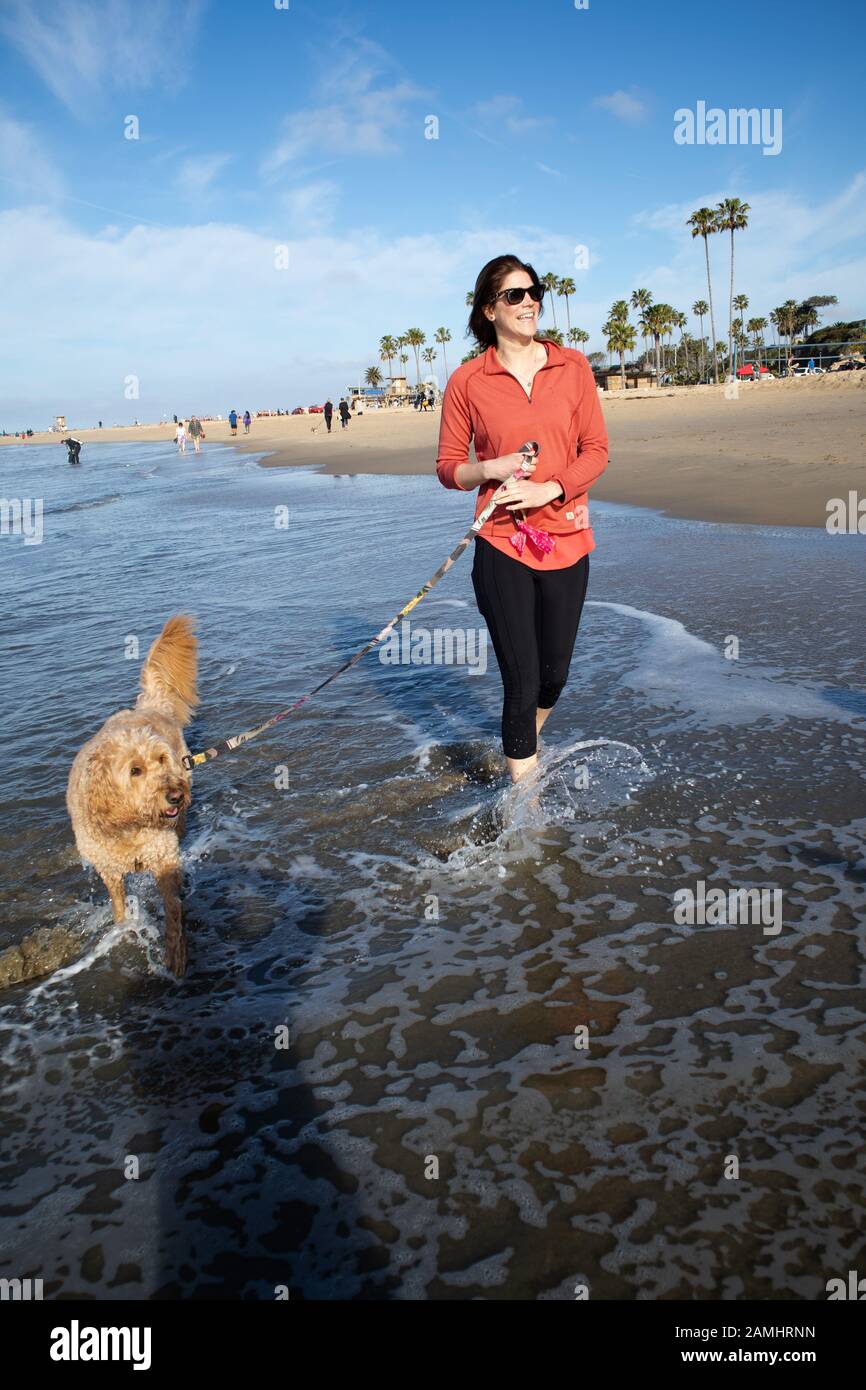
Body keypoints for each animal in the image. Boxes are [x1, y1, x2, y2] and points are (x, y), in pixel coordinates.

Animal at [66, 619, 198, 978]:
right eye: (135, 770)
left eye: (162, 760)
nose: (175, 795)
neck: (128, 825)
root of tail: (149, 706)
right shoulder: (109, 870)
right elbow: (119, 907)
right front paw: (123, 930)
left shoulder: (164, 856)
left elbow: (172, 908)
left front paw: (175, 952)